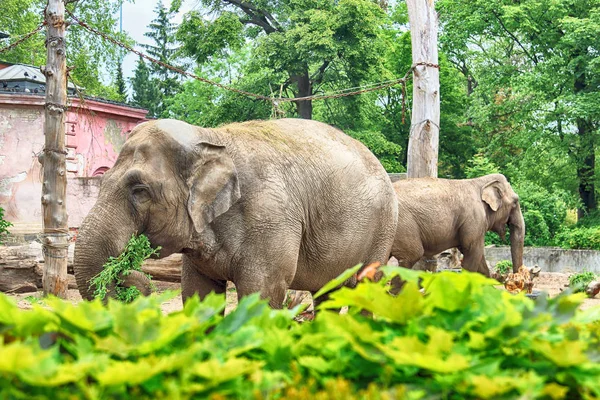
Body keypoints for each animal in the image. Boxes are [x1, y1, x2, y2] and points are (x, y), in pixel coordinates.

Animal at [74, 117, 398, 308]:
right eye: (102, 180)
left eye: (139, 190)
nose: (124, 274)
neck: (210, 137)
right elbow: (198, 293)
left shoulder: (271, 220)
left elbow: (262, 293)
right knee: (327, 293)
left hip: (382, 231)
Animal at [390, 173, 524, 276]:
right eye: (515, 201)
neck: (480, 181)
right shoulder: (474, 219)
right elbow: (472, 252)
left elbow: (479, 258)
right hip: (402, 225)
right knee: (411, 255)